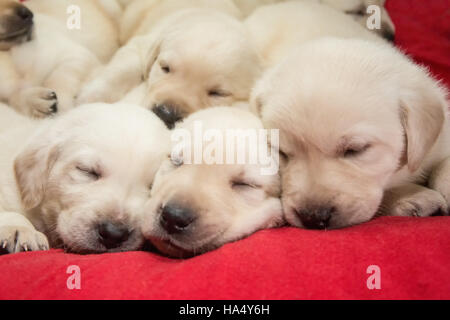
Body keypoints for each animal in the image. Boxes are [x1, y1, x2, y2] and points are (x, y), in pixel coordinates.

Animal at [77, 6, 260, 129]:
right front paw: (91, 96)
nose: (166, 114)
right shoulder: (143, 43)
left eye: (218, 93)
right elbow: (123, 69)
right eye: (165, 68)